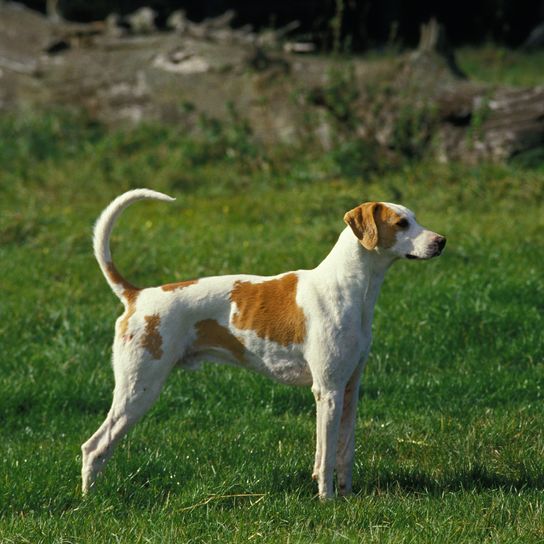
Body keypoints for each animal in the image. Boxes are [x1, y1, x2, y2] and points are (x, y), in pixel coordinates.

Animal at [82, 189, 446, 500]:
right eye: (401, 223)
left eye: (415, 218)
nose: (442, 241)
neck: (346, 288)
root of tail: (137, 295)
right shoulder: (327, 391)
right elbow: (326, 456)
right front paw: (327, 500)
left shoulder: (349, 388)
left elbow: (344, 452)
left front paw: (346, 496)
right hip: (138, 389)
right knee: (94, 447)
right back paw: (90, 502)